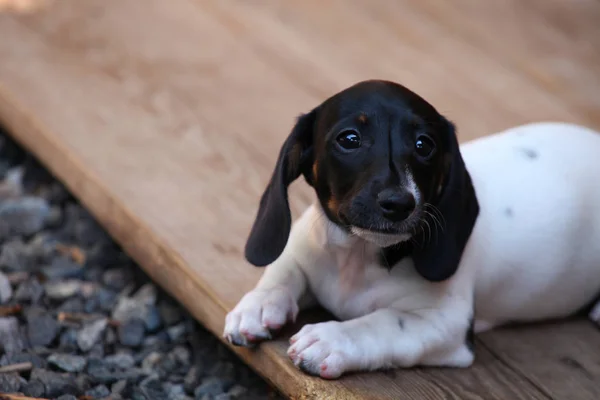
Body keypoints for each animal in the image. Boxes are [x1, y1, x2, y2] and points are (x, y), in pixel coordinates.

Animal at [223, 79, 600, 380]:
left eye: (424, 144)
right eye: (349, 139)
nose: (398, 202)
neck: (357, 257)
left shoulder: (443, 323)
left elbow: (383, 322)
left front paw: (332, 340)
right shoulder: (306, 244)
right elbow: (285, 268)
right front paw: (258, 305)